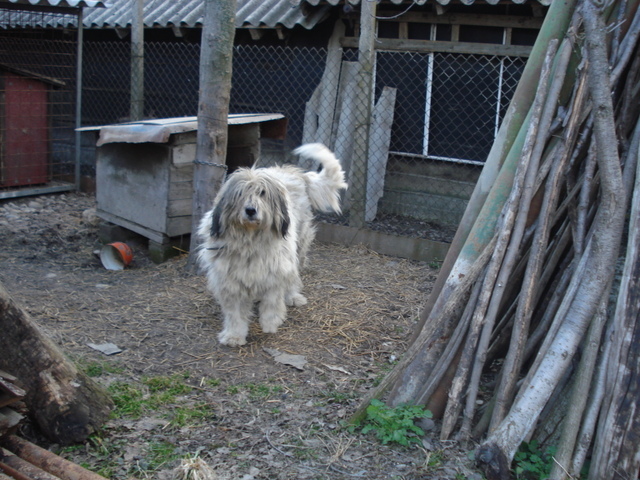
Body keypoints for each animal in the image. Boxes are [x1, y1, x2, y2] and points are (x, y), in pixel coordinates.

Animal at [198, 142, 348, 344]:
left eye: (262, 193)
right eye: (240, 194)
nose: (250, 210)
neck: (250, 240)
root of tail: (293, 172)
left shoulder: (275, 273)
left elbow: (272, 301)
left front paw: (270, 323)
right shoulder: (230, 280)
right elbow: (235, 313)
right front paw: (234, 335)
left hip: (298, 248)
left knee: (293, 277)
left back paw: (292, 297)